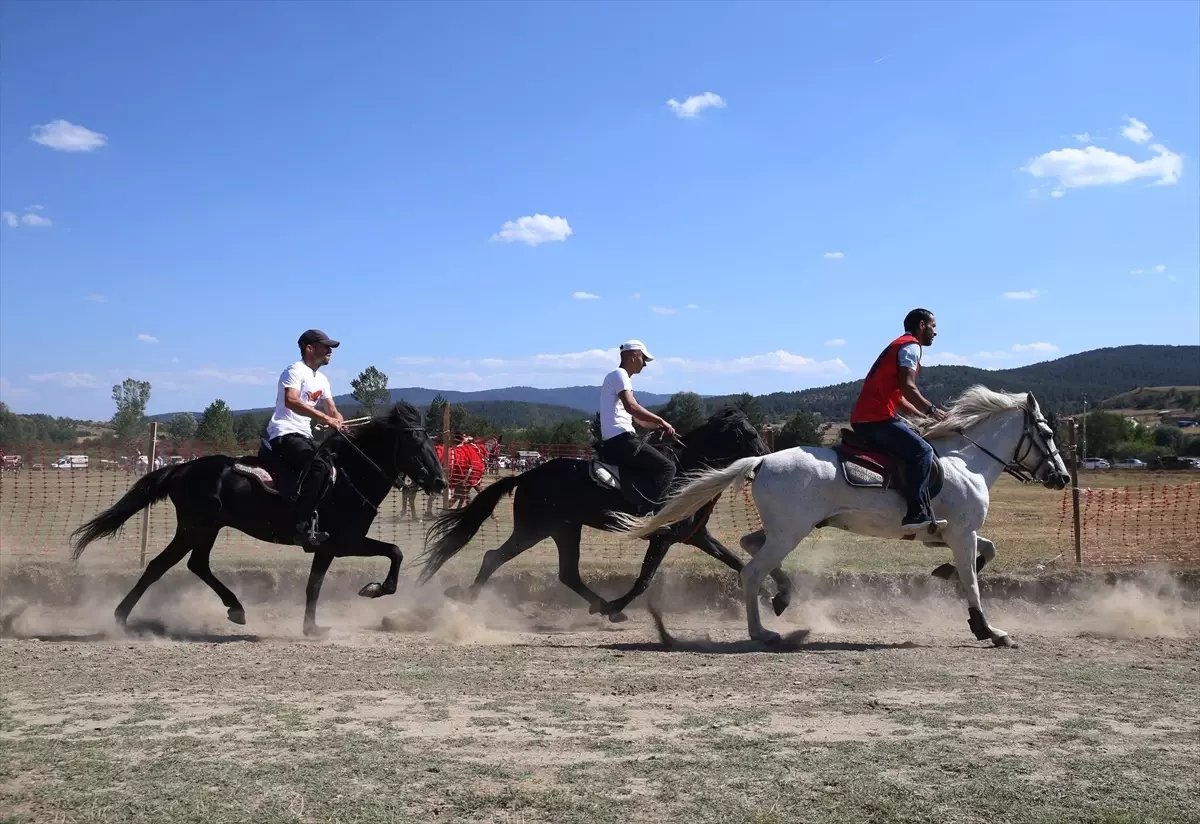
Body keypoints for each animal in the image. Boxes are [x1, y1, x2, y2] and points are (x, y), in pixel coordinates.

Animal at [71, 403, 446, 633]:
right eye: (416, 443)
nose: (440, 482)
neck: (349, 477)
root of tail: (182, 468)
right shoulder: (341, 543)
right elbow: (388, 554)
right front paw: (371, 591)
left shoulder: (334, 546)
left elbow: (324, 580)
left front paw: (317, 624)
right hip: (195, 527)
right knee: (159, 566)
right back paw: (120, 618)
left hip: (207, 528)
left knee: (196, 565)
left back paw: (235, 608)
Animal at [417, 410, 792, 623]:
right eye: (750, 434)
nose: (768, 460)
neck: (690, 474)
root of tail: (527, 475)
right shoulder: (662, 538)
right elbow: (643, 580)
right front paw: (616, 605)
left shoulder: (697, 537)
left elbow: (738, 562)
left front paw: (776, 596)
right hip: (535, 529)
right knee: (494, 557)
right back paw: (469, 598)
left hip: (564, 530)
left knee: (567, 574)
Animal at [619, 386, 1070, 652]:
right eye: (1047, 435)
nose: (1063, 477)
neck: (967, 461)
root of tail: (762, 459)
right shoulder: (962, 532)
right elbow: (974, 581)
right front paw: (988, 630)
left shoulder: (948, 534)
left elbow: (986, 554)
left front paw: (945, 574)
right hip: (791, 532)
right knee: (750, 570)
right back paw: (763, 631)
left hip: (786, 529)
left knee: (750, 546)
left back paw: (782, 595)